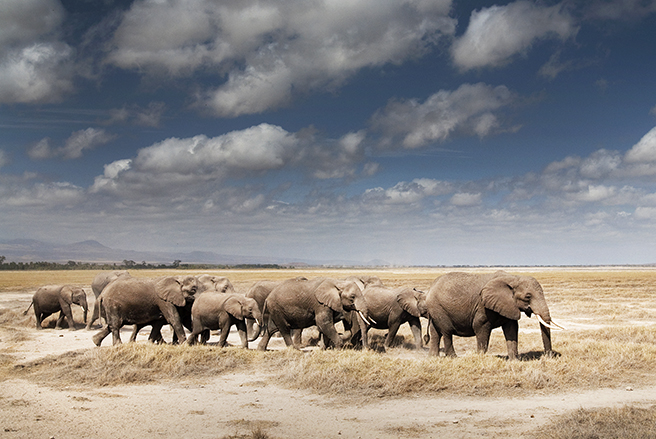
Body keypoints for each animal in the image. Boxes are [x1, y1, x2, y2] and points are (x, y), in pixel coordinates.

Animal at [426, 272, 564, 360]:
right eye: (528, 296)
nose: (549, 356)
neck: (513, 277)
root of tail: (431, 287)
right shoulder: (483, 306)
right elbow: (480, 326)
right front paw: (480, 358)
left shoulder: (509, 305)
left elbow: (512, 328)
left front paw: (514, 361)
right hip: (438, 307)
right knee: (447, 331)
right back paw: (453, 357)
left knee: (435, 332)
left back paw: (433, 357)